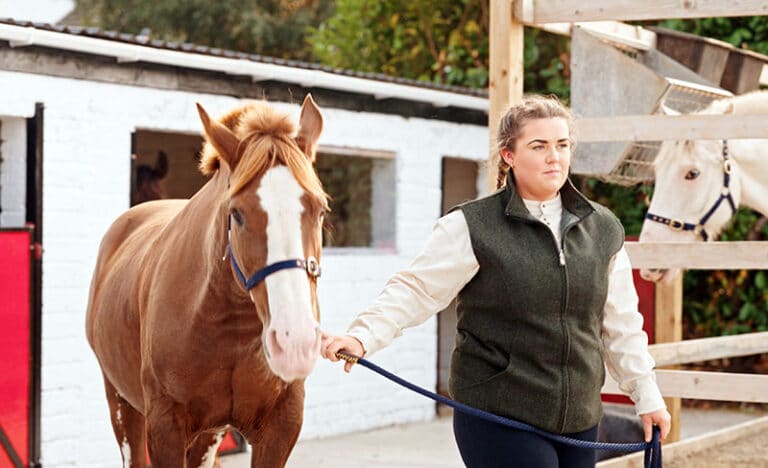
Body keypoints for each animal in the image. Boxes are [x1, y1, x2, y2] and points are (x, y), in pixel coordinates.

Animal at [85, 96, 328, 468]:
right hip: (122, 404)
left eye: (321, 210)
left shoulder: (281, 425)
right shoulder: (164, 427)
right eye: (237, 213)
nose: (295, 341)